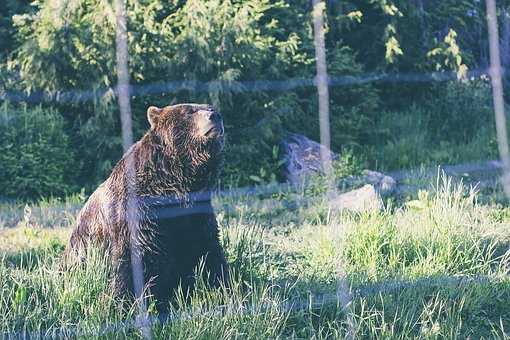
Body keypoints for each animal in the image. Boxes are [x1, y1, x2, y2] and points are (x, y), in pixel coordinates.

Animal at [64, 103, 228, 310]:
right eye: (189, 111)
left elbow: (209, 254)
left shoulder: (196, 214)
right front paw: (122, 303)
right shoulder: (140, 214)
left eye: (210, 107)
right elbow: (133, 261)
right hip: (82, 250)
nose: (216, 116)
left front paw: (225, 290)